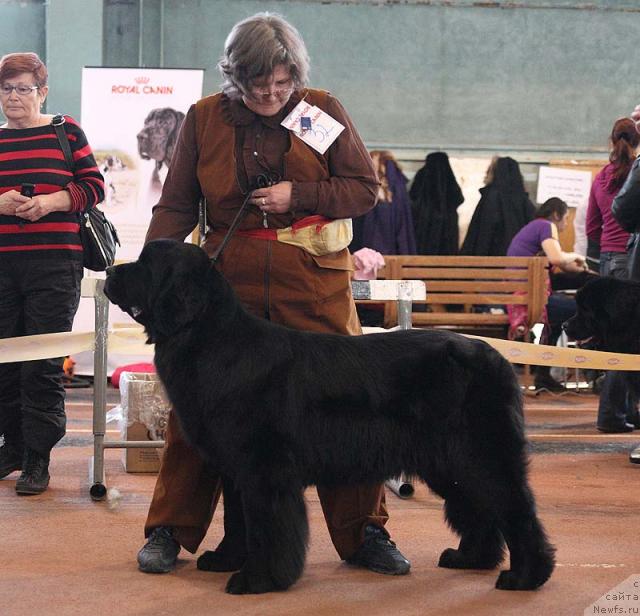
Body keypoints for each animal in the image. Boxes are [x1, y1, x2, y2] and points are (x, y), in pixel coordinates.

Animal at [105, 239, 556, 592]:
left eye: (146, 264)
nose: (109, 269)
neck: (211, 338)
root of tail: (499, 358)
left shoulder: (265, 469)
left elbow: (267, 526)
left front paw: (258, 580)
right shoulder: (237, 466)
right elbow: (238, 519)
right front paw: (226, 559)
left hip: (480, 454)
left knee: (516, 509)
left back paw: (526, 577)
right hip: (449, 461)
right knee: (479, 506)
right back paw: (472, 559)